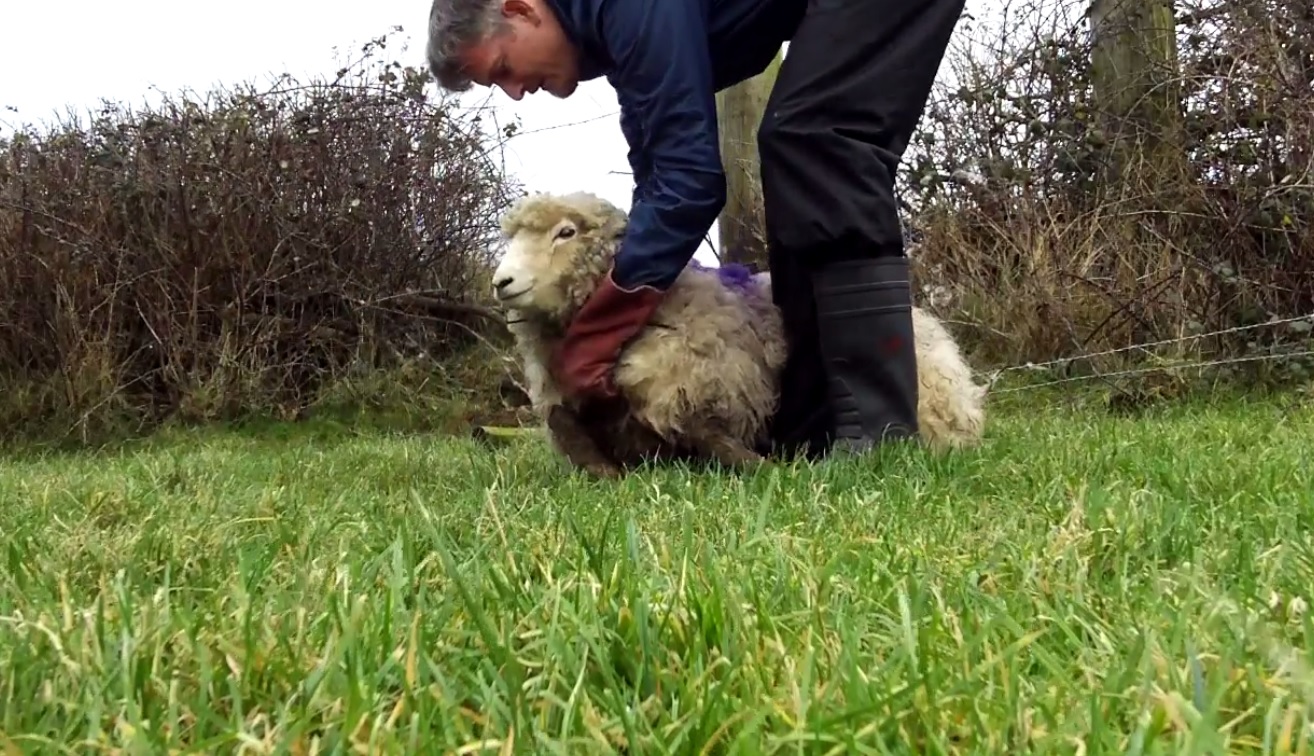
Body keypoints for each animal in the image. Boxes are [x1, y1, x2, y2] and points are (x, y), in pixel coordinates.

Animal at [491, 190, 986, 478]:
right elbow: (572, 432)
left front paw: (762, 470)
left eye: (566, 232)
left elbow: (710, 434)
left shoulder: (701, 389)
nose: (501, 282)